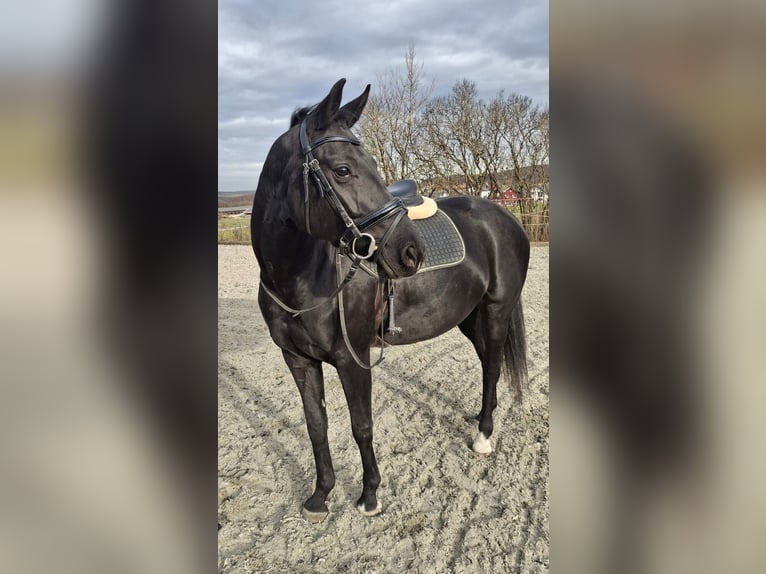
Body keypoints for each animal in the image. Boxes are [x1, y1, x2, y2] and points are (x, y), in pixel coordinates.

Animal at [251, 79, 530, 522]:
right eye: (342, 170)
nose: (411, 253)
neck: (301, 277)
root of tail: (505, 217)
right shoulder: (298, 360)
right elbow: (316, 425)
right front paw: (320, 496)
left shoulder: (352, 358)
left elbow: (360, 425)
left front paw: (369, 495)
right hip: (469, 317)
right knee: (491, 362)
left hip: (496, 310)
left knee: (492, 367)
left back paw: (483, 435)